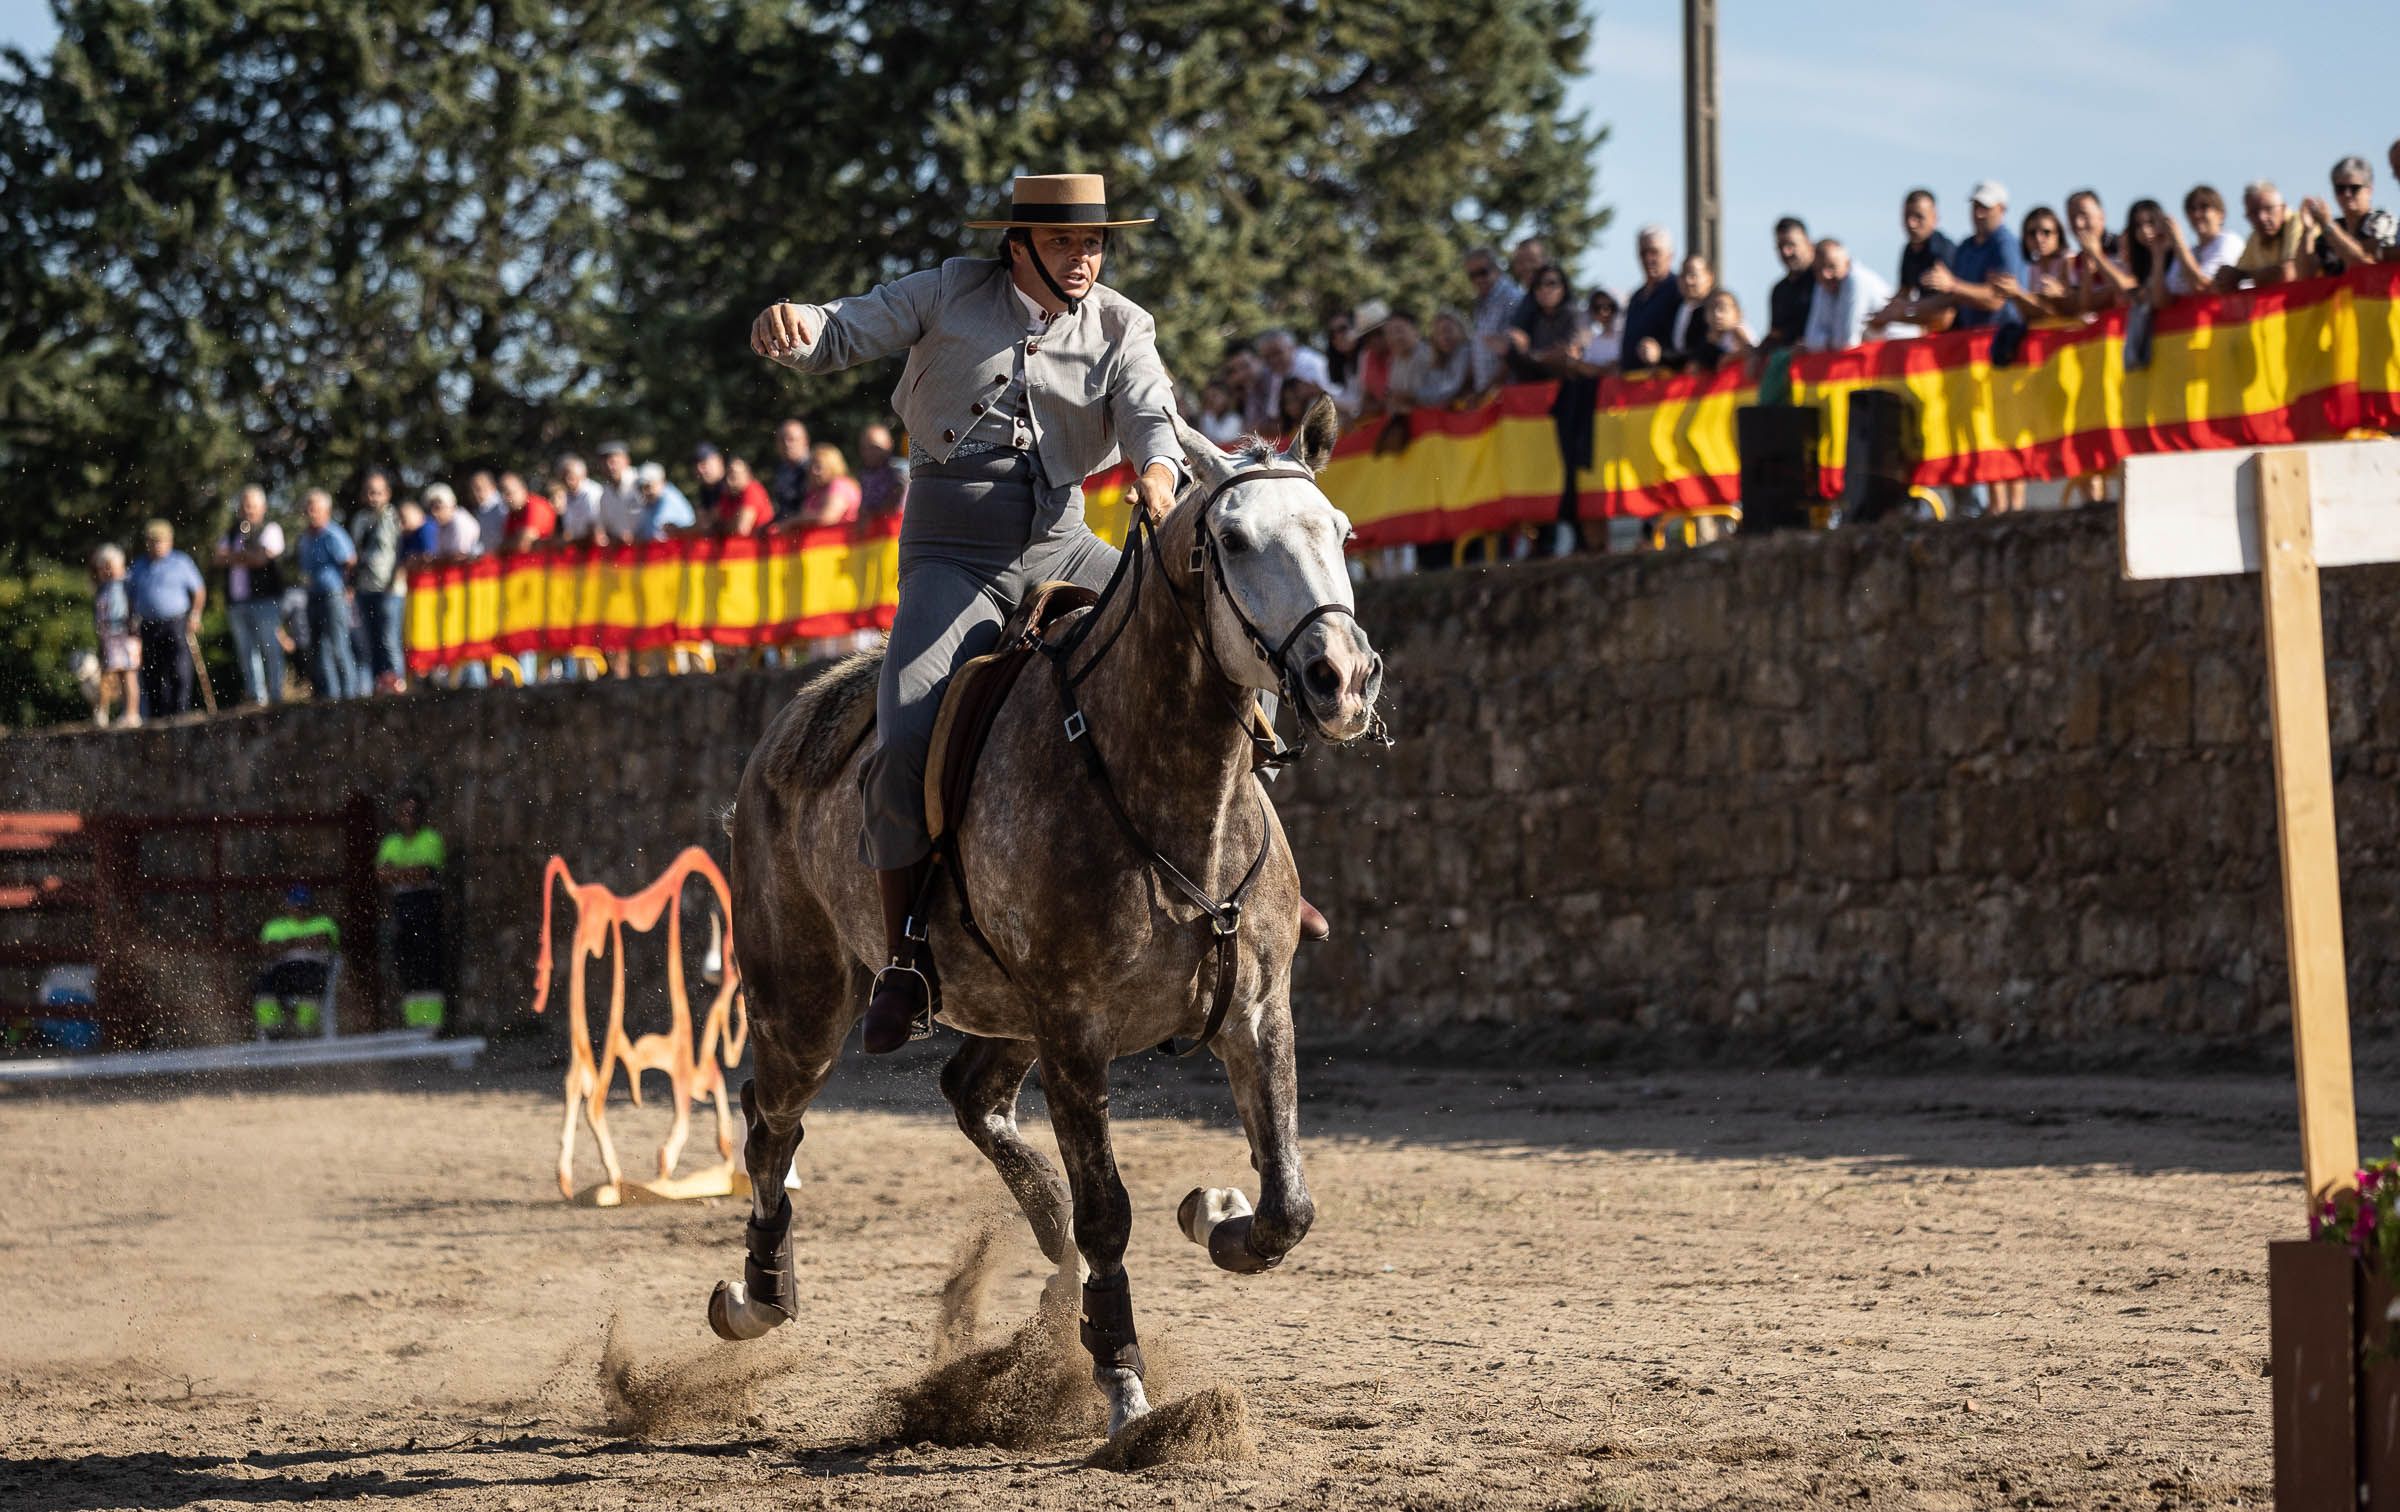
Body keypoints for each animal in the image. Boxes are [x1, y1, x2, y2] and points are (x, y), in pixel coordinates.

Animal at [710, 400, 1382, 1430]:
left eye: (1340, 532)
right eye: (1231, 539)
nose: (1340, 677)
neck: (1169, 791)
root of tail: (789, 724)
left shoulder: (1258, 1013)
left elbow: (1286, 1205)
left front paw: (1215, 1215)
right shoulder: (1074, 1029)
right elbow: (1110, 1207)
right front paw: (1123, 1380)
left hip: (1001, 1013)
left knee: (971, 1097)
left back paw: (1055, 1270)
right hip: (806, 1003)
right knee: (770, 1121)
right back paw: (759, 1293)